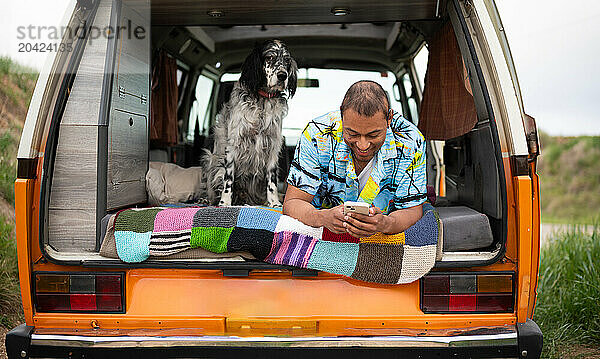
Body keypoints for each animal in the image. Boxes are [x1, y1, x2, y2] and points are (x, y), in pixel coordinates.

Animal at [206, 39, 298, 207]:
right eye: (269, 57)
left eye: (287, 60)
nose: (282, 75)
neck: (262, 100)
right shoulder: (233, 145)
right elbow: (228, 180)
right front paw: (224, 203)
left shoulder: (273, 145)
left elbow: (272, 180)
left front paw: (274, 203)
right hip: (211, 160)